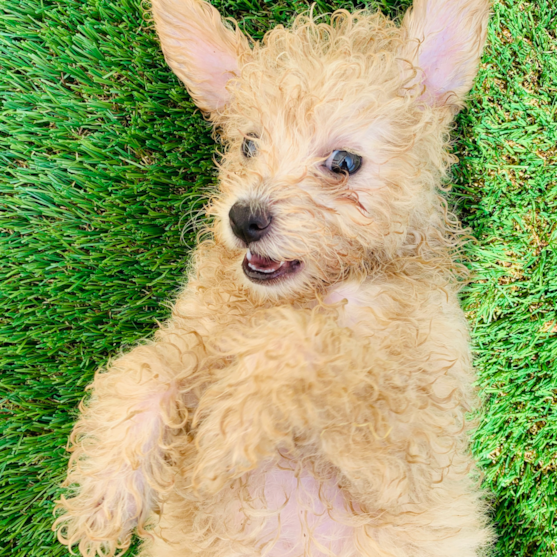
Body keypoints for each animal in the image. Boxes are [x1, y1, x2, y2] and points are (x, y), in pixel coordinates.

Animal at [55, 0, 490, 552]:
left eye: (343, 162)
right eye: (248, 145)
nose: (244, 219)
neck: (307, 293)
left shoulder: (408, 455)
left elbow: (309, 344)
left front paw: (225, 435)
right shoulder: (190, 338)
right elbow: (141, 373)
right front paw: (102, 503)